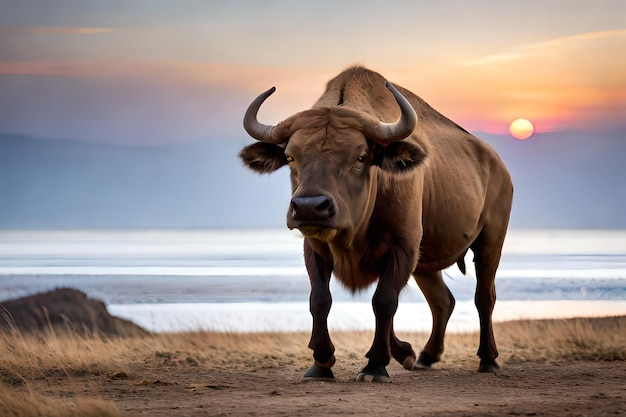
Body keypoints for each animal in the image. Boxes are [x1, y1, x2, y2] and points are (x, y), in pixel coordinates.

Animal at [239, 65, 512, 380]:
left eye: (360, 157)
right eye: (290, 156)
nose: (309, 207)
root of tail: (498, 165)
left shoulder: (403, 247)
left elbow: (383, 301)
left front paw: (376, 365)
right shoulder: (316, 248)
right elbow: (320, 299)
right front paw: (321, 363)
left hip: (490, 241)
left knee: (484, 297)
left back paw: (488, 359)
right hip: (426, 264)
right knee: (443, 301)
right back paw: (424, 356)